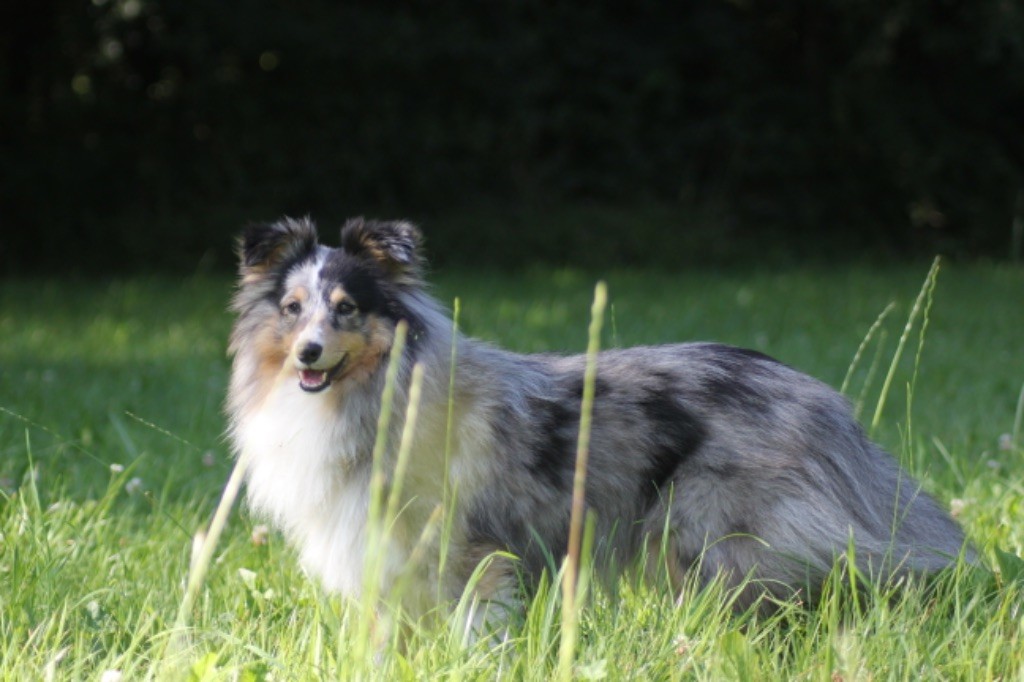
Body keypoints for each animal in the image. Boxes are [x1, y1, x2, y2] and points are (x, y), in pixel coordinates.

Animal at [227, 217, 971, 621]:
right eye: (292, 308)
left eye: (347, 308)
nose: (308, 353)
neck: (375, 394)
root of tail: (824, 401)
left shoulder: (470, 551)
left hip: (716, 533)